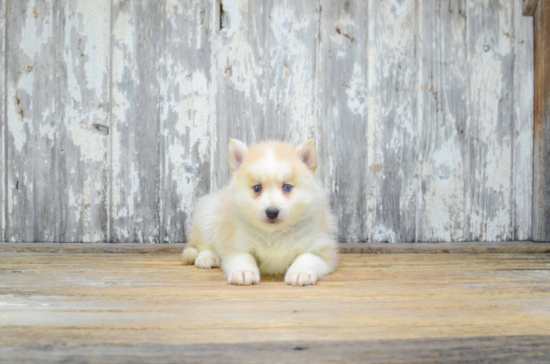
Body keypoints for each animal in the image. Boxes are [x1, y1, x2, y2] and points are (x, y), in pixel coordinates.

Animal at [183, 141, 338, 286]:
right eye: (257, 188)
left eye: (287, 187)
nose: (272, 212)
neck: (274, 235)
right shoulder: (235, 245)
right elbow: (243, 257)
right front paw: (244, 271)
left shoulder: (322, 248)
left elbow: (307, 257)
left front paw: (300, 272)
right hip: (209, 212)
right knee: (203, 243)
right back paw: (207, 258)